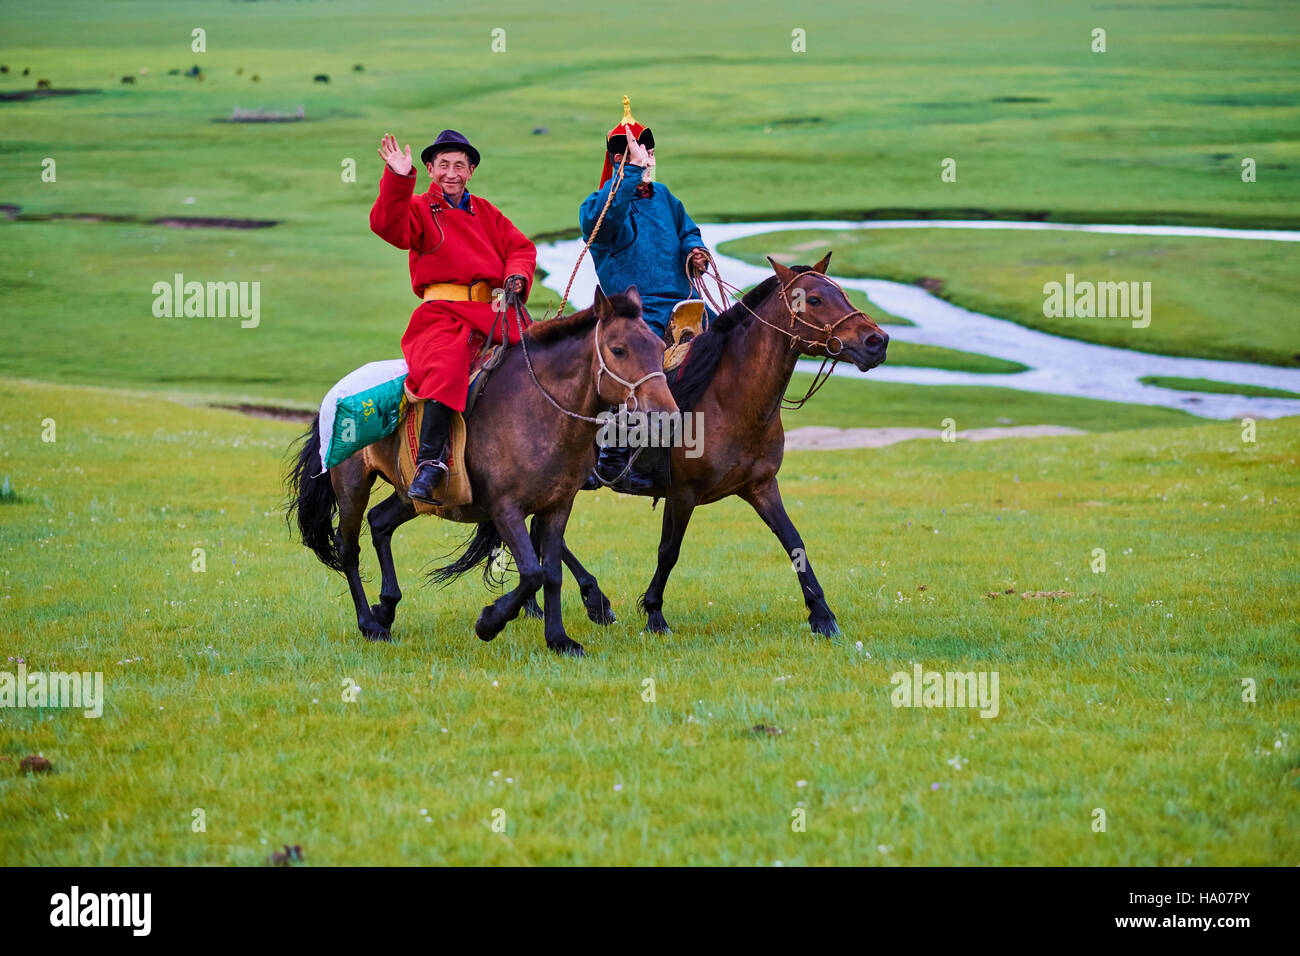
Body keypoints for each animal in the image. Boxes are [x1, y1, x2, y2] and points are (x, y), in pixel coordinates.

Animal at [288, 287, 676, 655]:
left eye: (660, 347)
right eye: (619, 350)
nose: (666, 416)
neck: (540, 408)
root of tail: (338, 391)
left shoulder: (557, 506)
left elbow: (550, 573)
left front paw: (559, 639)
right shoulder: (505, 508)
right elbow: (532, 572)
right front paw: (491, 622)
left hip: (412, 495)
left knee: (380, 522)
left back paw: (385, 607)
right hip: (353, 484)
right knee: (347, 547)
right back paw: (369, 623)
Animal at [540, 257, 894, 639]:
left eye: (842, 292)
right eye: (813, 299)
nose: (877, 341)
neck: (730, 400)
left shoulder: (761, 487)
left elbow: (793, 541)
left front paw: (822, 616)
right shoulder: (682, 494)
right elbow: (668, 552)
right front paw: (654, 614)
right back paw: (594, 600)